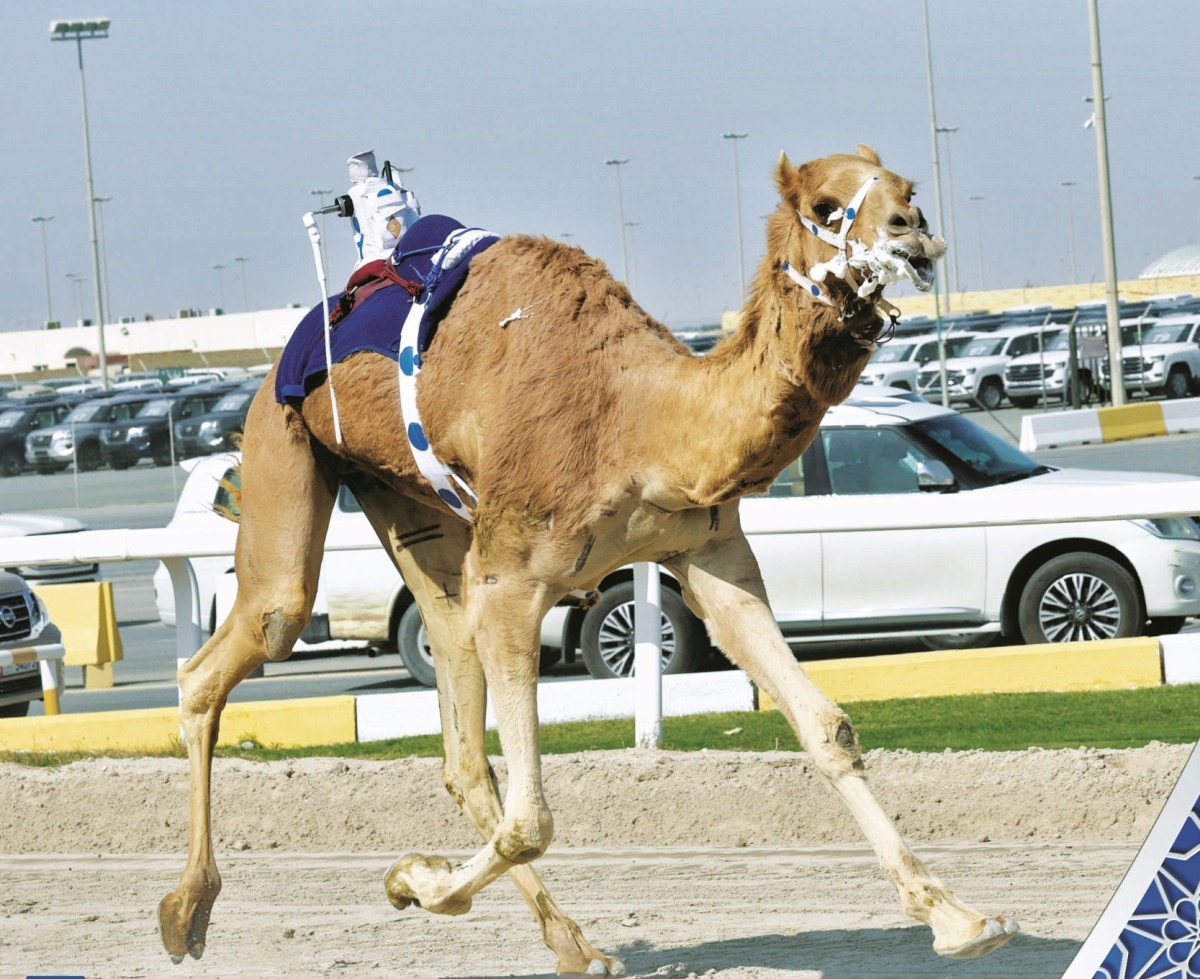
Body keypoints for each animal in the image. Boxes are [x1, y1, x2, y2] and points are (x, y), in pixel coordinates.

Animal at [158, 145, 1018, 974]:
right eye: (828, 205)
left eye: (909, 186)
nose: (913, 231)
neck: (643, 421)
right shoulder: (510, 576)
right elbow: (530, 820)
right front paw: (413, 880)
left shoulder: (708, 552)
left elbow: (826, 726)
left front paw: (960, 917)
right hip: (285, 438)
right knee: (246, 639)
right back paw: (184, 912)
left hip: (399, 495)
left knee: (457, 728)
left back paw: (576, 946)